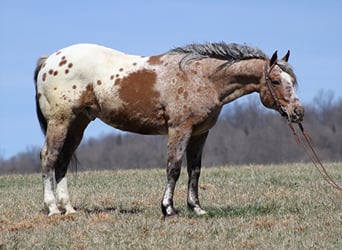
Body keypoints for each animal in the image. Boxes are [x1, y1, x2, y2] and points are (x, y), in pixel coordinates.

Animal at [33, 42, 304, 217]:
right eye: (276, 81)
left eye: (292, 81)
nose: (298, 112)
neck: (202, 77)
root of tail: (50, 59)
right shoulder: (179, 130)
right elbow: (173, 168)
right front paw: (168, 208)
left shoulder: (200, 133)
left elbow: (195, 171)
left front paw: (196, 208)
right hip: (60, 121)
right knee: (49, 157)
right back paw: (52, 208)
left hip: (77, 123)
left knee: (63, 161)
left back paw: (69, 208)